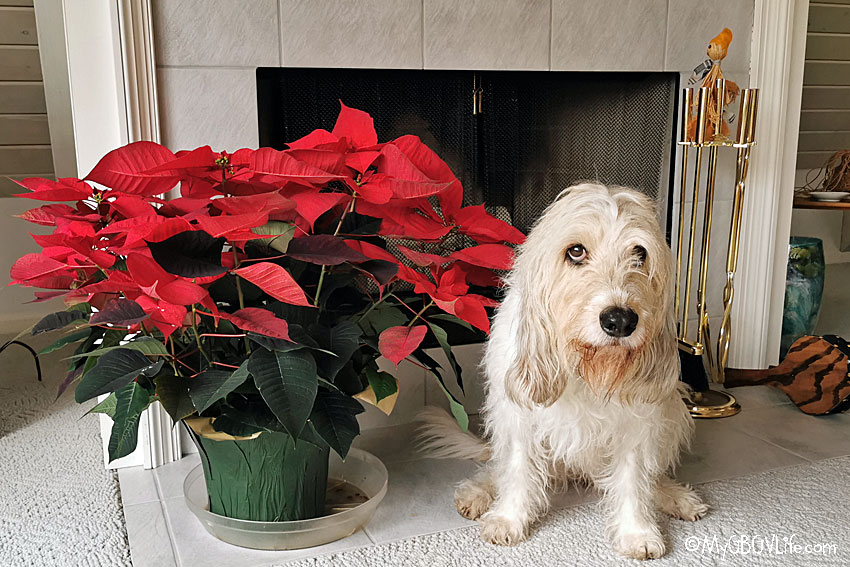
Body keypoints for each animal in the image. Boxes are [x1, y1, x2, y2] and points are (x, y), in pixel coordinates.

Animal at [418, 185, 704, 560]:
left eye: (640, 253)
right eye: (576, 251)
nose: (620, 320)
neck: (584, 364)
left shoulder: (637, 423)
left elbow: (633, 478)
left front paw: (636, 531)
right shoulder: (518, 417)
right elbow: (516, 469)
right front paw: (508, 519)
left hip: (675, 410)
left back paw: (673, 495)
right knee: (495, 467)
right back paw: (478, 493)